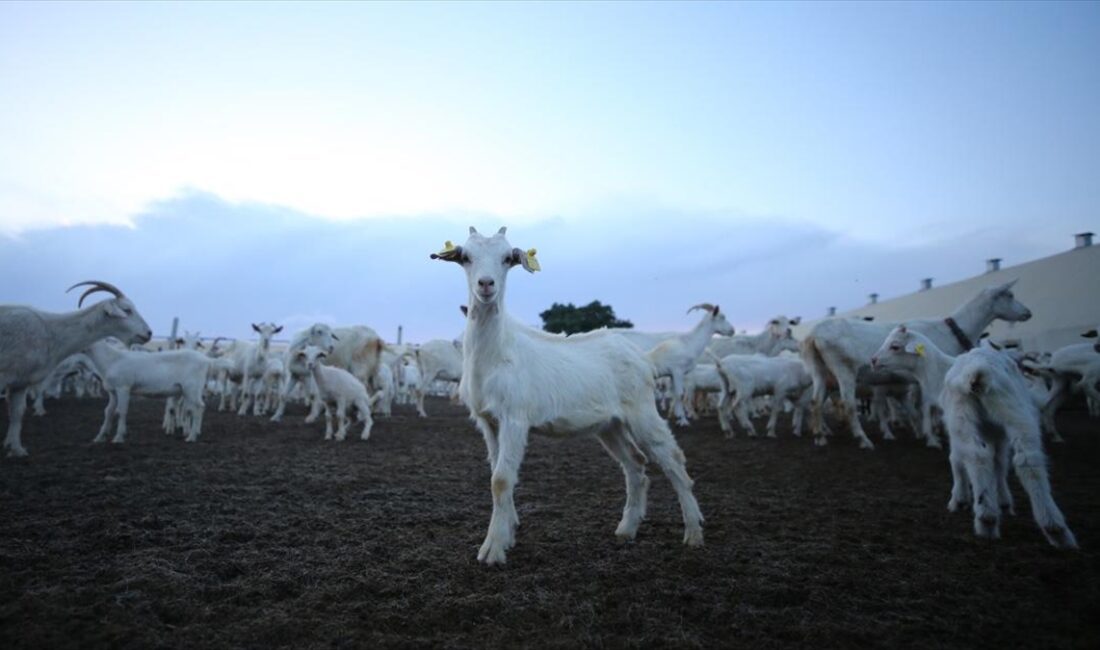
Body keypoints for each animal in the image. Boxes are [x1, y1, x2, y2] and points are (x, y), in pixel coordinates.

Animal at [0, 281, 152, 457]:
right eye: (127, 310)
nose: (149, 333)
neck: (51, 331)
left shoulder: (21, 381)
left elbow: (17, 413)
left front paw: (16, 449)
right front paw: (39, 410)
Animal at [431, 227, 704, 563]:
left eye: (507, 258)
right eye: (466, 257)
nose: (486, 284)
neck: (496, 352)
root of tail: (644, 358)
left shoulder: (515, 417)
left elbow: (501, 479)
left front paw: (492, 549)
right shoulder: (488, 421)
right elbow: (496, 475)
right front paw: (508, 535)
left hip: (642, 410)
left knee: (672, 459)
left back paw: (693, 532)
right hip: (610, 424)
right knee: (636, 463)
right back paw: (627, 529)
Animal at [800, 281, 1029, 450]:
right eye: (1009, 295)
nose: (1028, 313)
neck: (952, 330)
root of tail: (813, 335)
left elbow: (920, 407)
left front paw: (926, 432)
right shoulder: (929, 375)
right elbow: (928, 406)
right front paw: (933, 438)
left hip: (820, 370)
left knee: (815, 402)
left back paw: (820, 436)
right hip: (844, 369)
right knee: (847, 404)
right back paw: (863, 440)